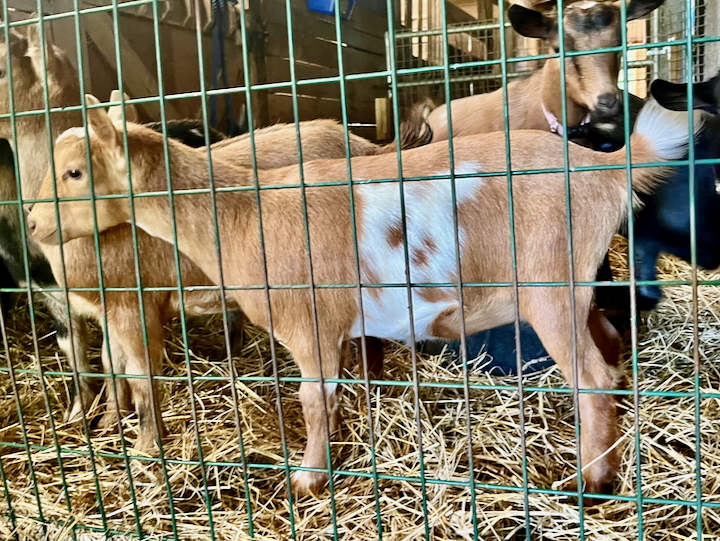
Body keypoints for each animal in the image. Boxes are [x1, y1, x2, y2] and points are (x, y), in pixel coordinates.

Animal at [27, 93, 698, 498]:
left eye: (75, 172)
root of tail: (604, 169)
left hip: (549, 285)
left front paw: (306, 481)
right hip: (576, 289)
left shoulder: (309, 321)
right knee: (608, 344)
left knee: (591, 376)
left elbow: (312, 399)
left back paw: (591, 479)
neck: (243, 213)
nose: (32, 225)